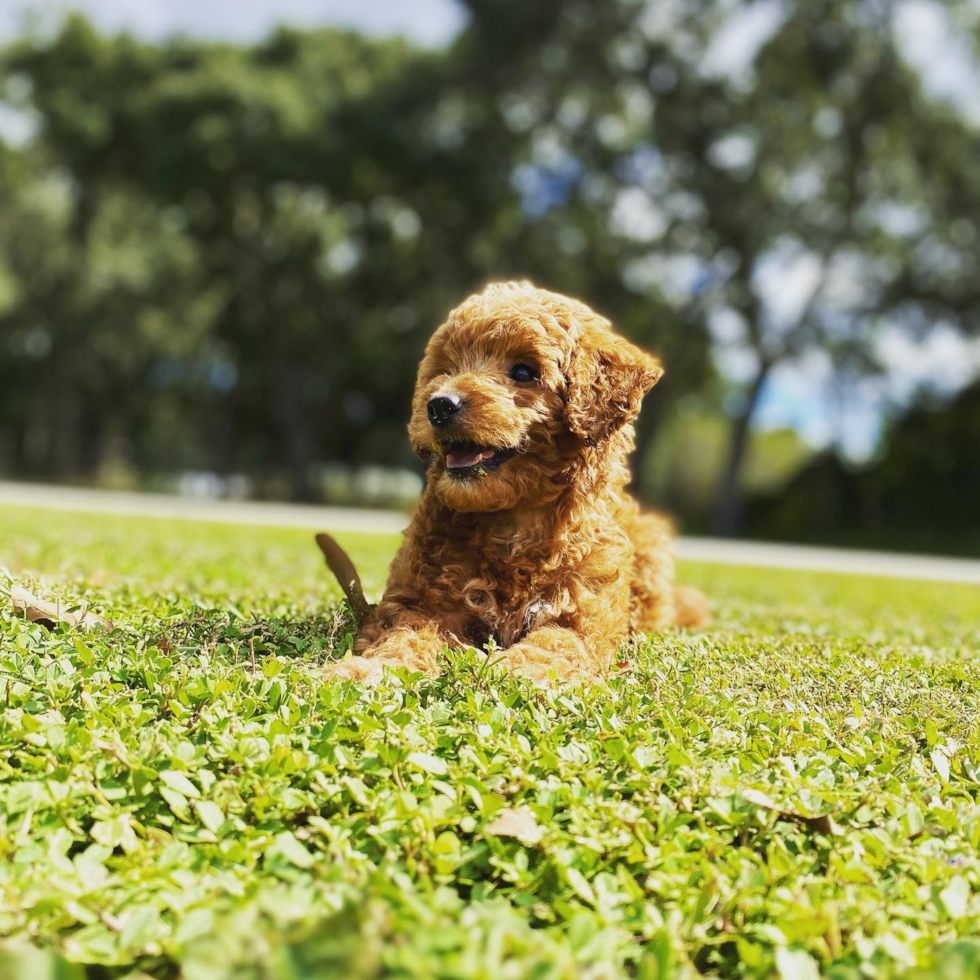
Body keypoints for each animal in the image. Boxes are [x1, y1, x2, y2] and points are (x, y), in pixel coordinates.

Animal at [326, 280, 708, 684]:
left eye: (524, 372)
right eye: (447, 369)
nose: (439, 405)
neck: (515, 519)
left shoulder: (584, 616)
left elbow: (557, 642)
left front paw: (521, 670)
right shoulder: (418, 601)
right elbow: (403, 634)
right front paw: (365, 670)